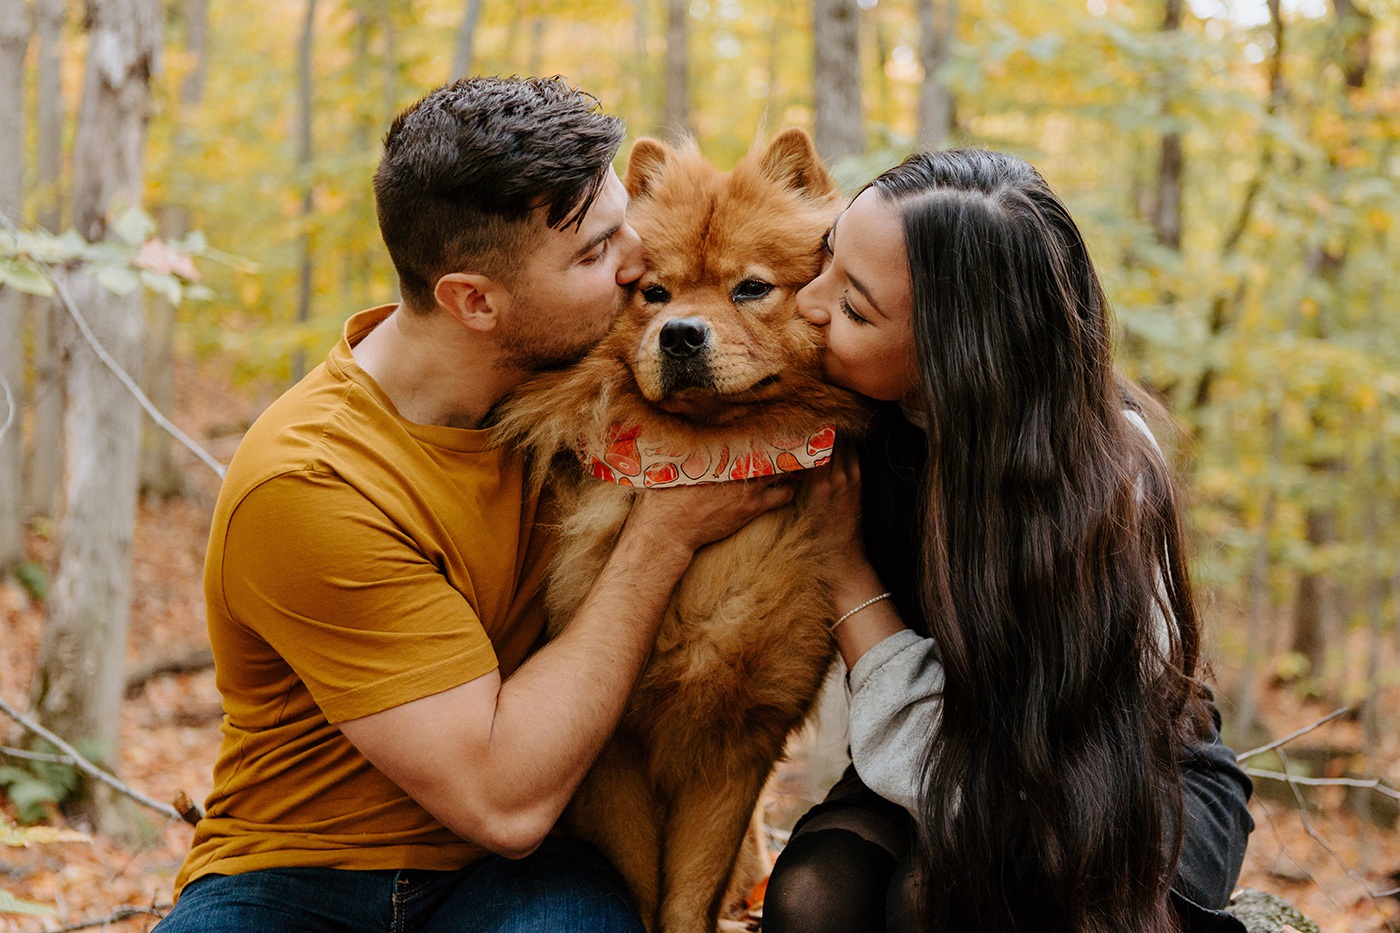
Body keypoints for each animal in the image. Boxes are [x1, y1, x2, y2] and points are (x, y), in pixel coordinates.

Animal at [492, 128, 862, 930]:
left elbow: (689, 893)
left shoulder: (738, 741)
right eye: (653, 293)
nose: (682, 334)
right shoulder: (609, 750)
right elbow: (639, 882)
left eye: (750, 288)